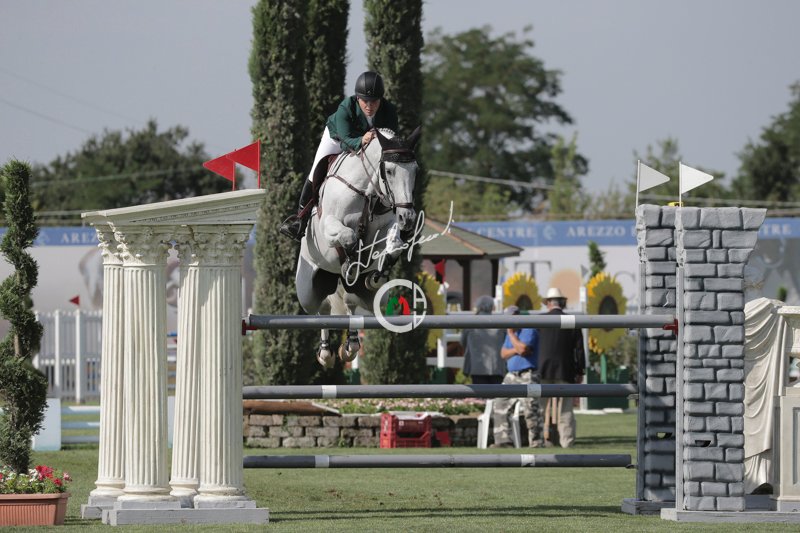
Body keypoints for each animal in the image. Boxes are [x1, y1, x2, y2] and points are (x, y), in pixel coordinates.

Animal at [296, 127, 421, 367]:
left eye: (415, 170)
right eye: (389, 171)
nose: (408, 219)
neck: (367, 192)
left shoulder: (388, 227)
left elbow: (394, 245)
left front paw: (376, 272)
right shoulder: (329, 225)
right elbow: (349, 236)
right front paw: (352, 262)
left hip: (370, 298)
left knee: (351, 303)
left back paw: (350, 346)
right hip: (307, 291)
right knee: (322, 309)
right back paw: (325, 353)